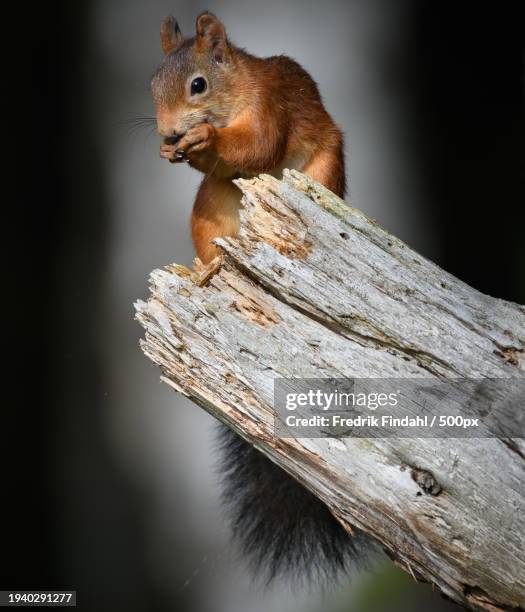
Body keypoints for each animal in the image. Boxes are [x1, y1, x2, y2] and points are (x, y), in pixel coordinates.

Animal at [149, 11, 366, 580]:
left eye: (198, 85)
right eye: (151, 85)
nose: (168, 131)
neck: (236, 91)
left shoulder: (271, 109)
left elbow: (257, 145)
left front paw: (204, 139)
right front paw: (169, 150)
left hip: (322, 172)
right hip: (211, 206)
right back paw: (211, 267)